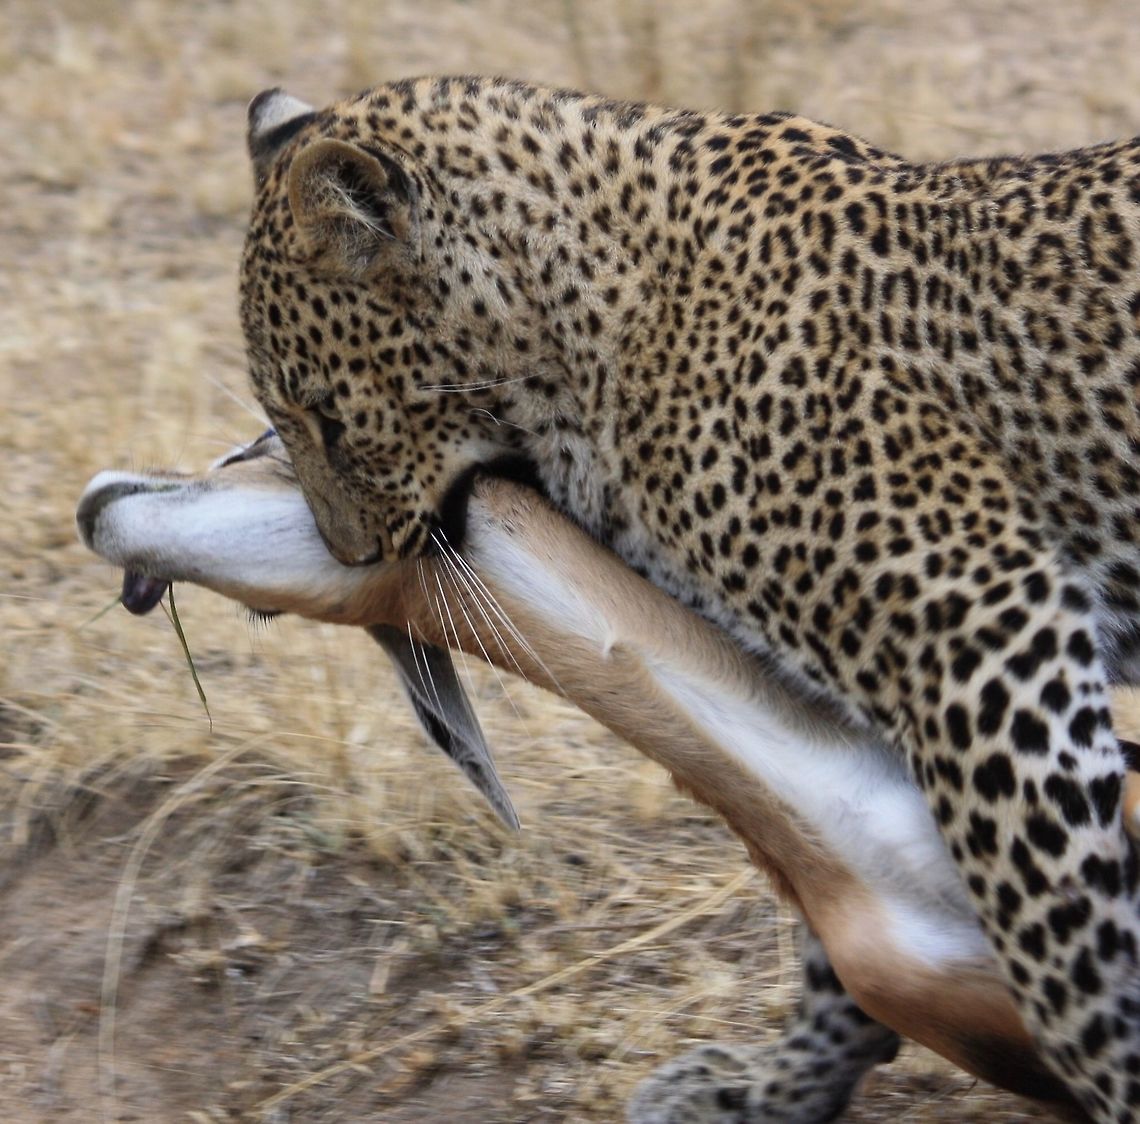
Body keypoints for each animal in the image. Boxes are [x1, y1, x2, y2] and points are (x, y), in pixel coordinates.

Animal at [236, 76, 1140, 1121]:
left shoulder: (983, 632)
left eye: (326, 419)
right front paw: (772, 1088)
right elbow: (834, 930)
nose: (348, 554)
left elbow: (1062, 949)